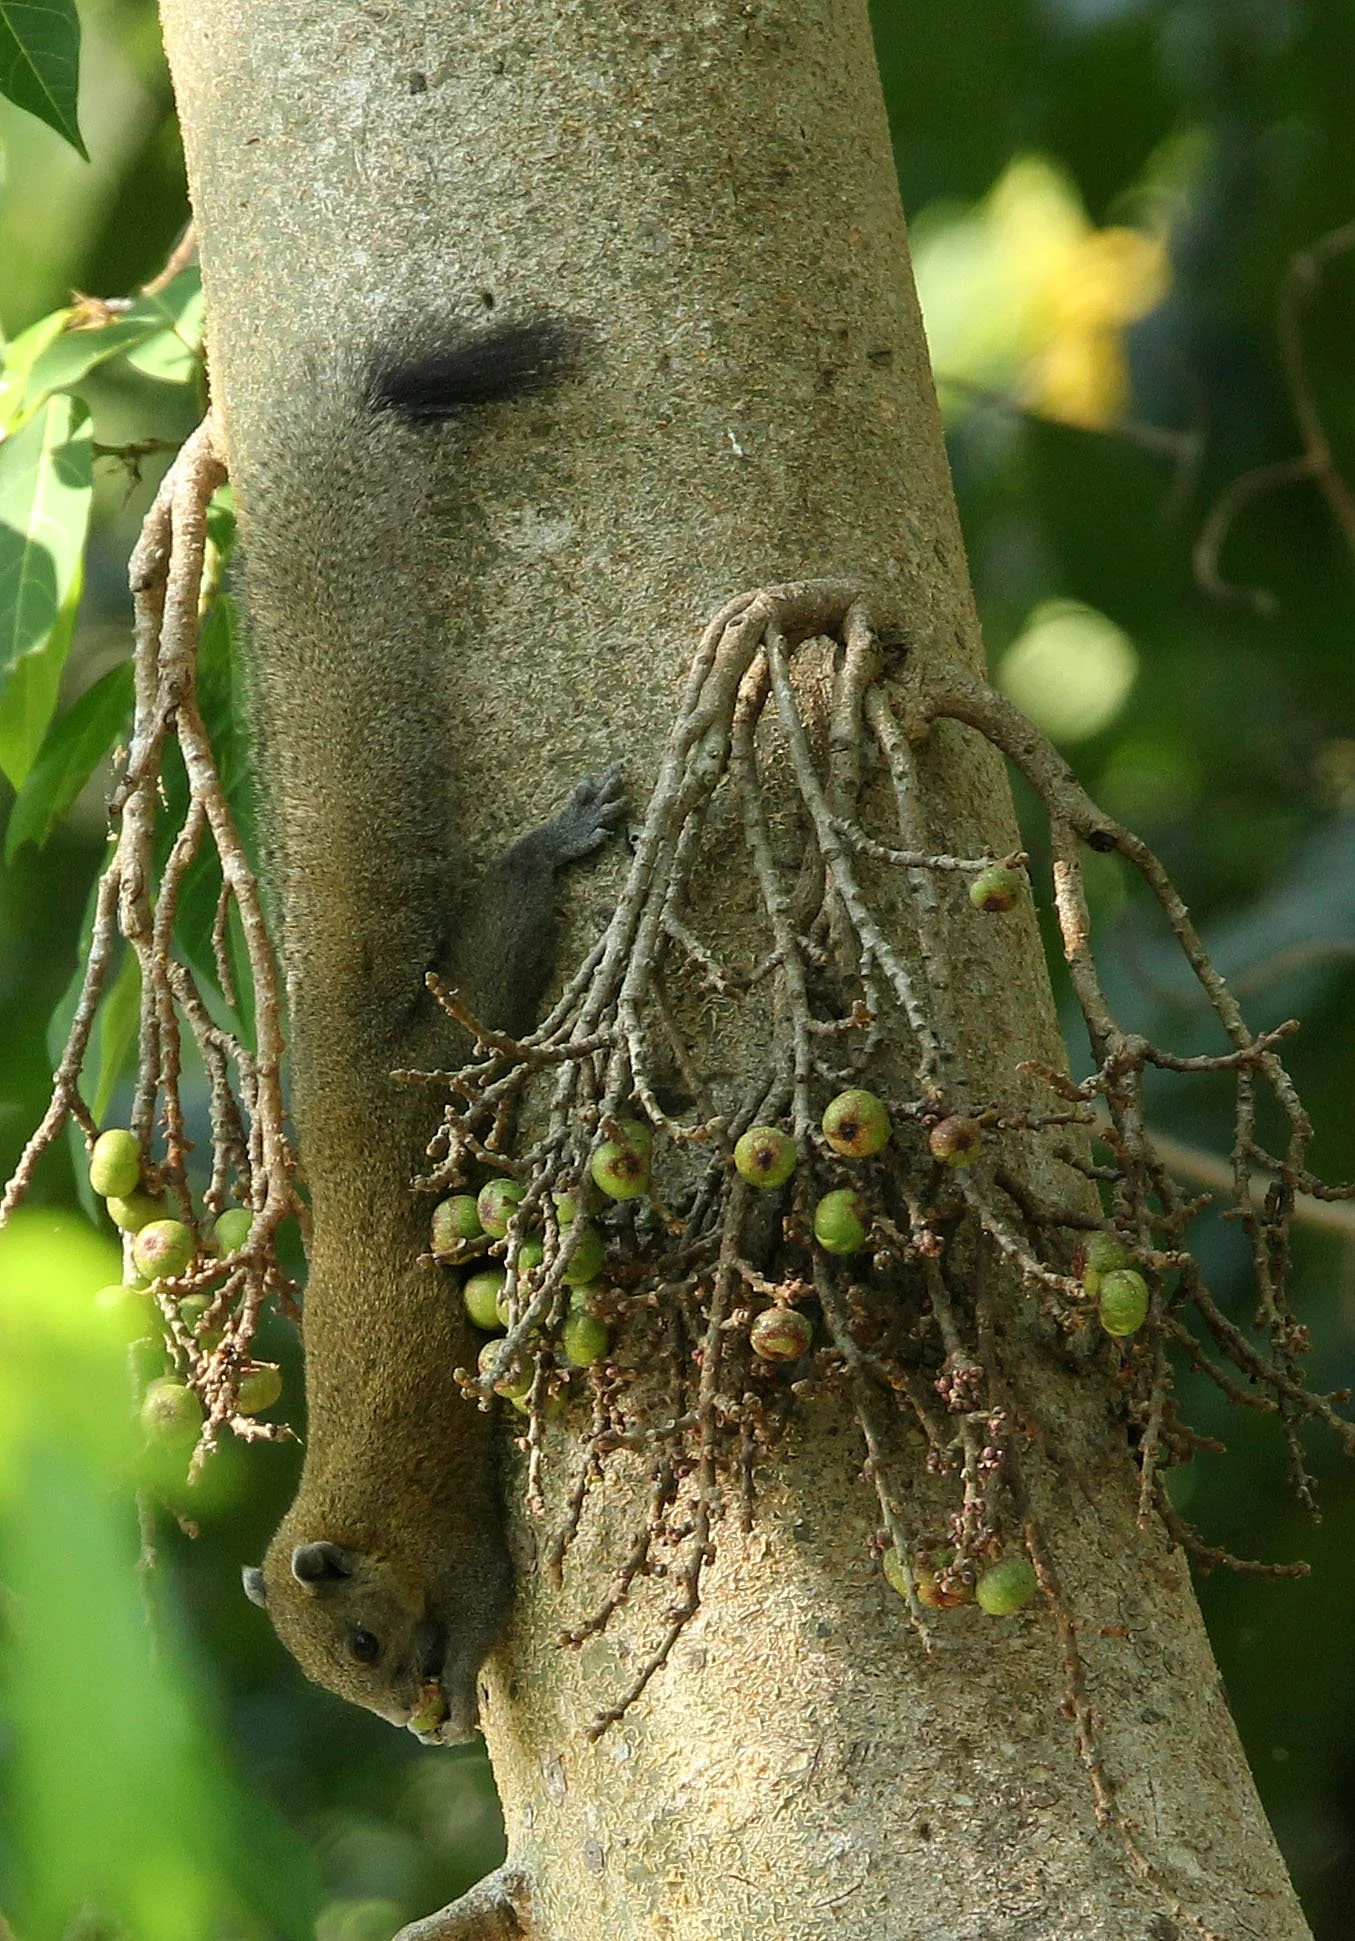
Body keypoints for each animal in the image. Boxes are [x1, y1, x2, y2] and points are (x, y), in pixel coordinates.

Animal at [234, 315, 621, 1742]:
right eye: (335, 1673)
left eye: (360, 1638)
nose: (405, 1723)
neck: (363, 1519)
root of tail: (345, 1079)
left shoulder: (456, 1541)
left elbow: (492, 1599)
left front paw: (458, 1692)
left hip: (466, 1041)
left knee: (505, 920)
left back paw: (557, 839)